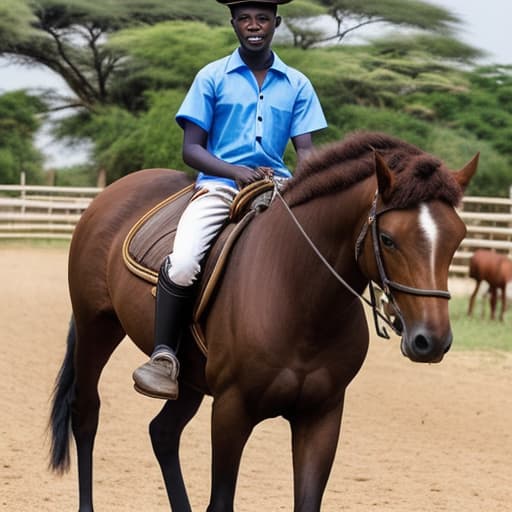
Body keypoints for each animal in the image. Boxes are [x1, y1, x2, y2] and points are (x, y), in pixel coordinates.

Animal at [50, 133, 478, 512]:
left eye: (458, 239)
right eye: (388, 239)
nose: (431, 340)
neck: (301, 300)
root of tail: (113, 192)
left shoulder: (321, 416)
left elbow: (307, 502)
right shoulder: (231, 410)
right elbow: (221, 502)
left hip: (188, 375)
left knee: (163, 433)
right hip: (96, 327)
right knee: (86, 413)